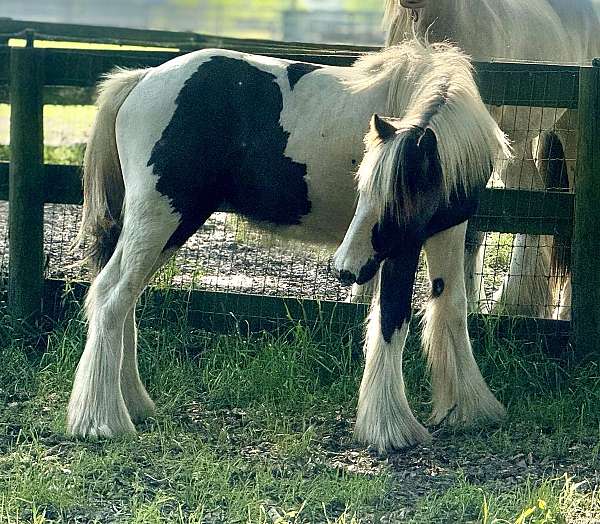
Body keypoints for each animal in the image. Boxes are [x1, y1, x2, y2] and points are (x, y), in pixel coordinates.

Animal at [70, 41, 510, 450]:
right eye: (363, 190)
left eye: (395, 203)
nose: (345, 269)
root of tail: (142, 80)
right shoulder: (403, 247)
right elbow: (392, 318)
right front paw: (390, 429)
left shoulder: (446, 230)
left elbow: (451, 307)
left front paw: (469, 407)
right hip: (158, 220)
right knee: (110, 297)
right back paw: (101, 421)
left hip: (170, 227)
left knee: (123, 300)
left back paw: (133, 404)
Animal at [384, 0, 600, 320]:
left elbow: (472, 229)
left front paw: (466, 305)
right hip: (520, 146)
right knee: (533, 200)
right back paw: (518, 305)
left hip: (570, 134)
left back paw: (558, 311)